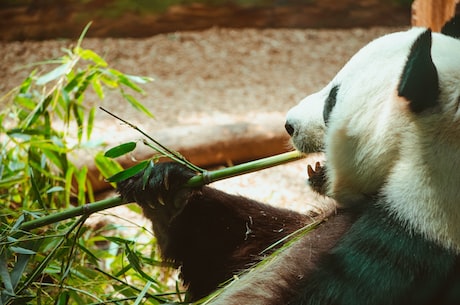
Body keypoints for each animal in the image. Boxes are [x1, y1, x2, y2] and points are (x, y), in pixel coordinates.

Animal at [117, 16, 460, 304]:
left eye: (332, 101)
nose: (289, 125)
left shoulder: (409, 246)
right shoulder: (329, 218)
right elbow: (246, 243)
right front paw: (165, 190)